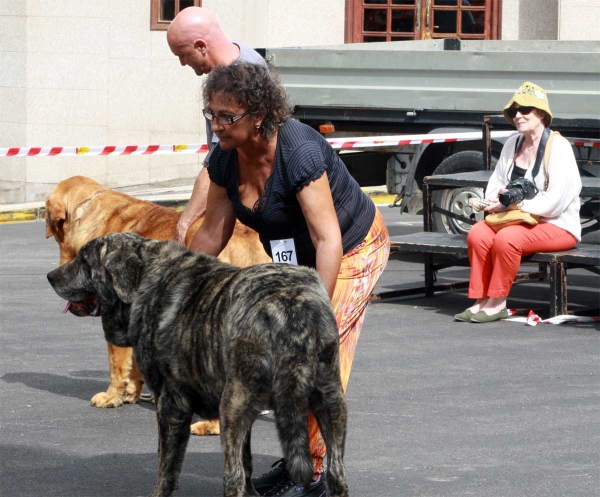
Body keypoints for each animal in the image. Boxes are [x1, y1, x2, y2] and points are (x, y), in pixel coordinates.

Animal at [47, 232, 350, 496]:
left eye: (84, 260)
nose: (50, 276)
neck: (144, 279)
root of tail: (291, 309)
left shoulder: (170, 405)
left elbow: (166, 466)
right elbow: (248, 464)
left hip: (232, 406)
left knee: (232, 476)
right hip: (331, 404)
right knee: (336, 474)